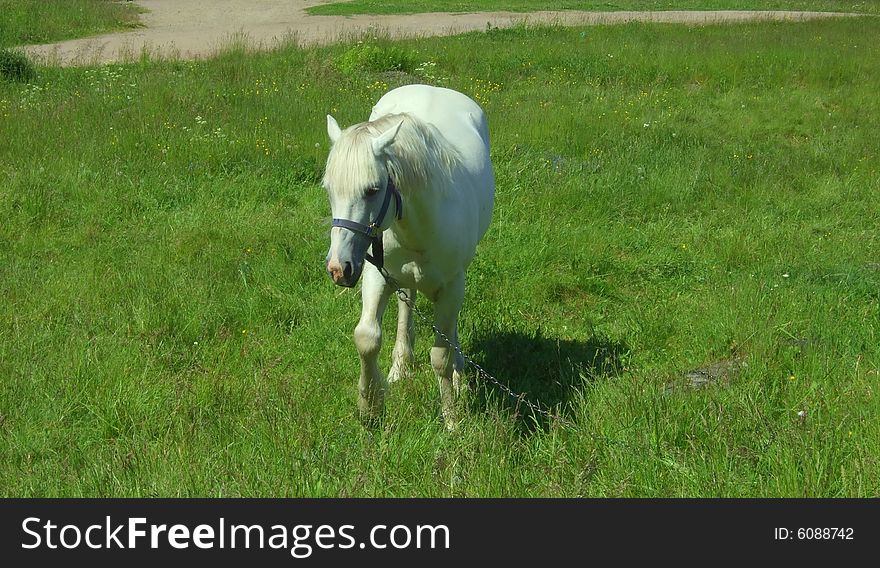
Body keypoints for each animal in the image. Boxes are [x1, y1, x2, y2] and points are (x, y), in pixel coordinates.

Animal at [324, 84, 496, 428]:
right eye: (329, 189)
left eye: (372, 189)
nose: (339, 268)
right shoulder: (375, 275)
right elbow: (366, 337)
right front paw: (371, 405)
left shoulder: (452, 286)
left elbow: (440, 355)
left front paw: (451, 419)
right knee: (407, 304)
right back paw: (399, 368)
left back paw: (458, 373)